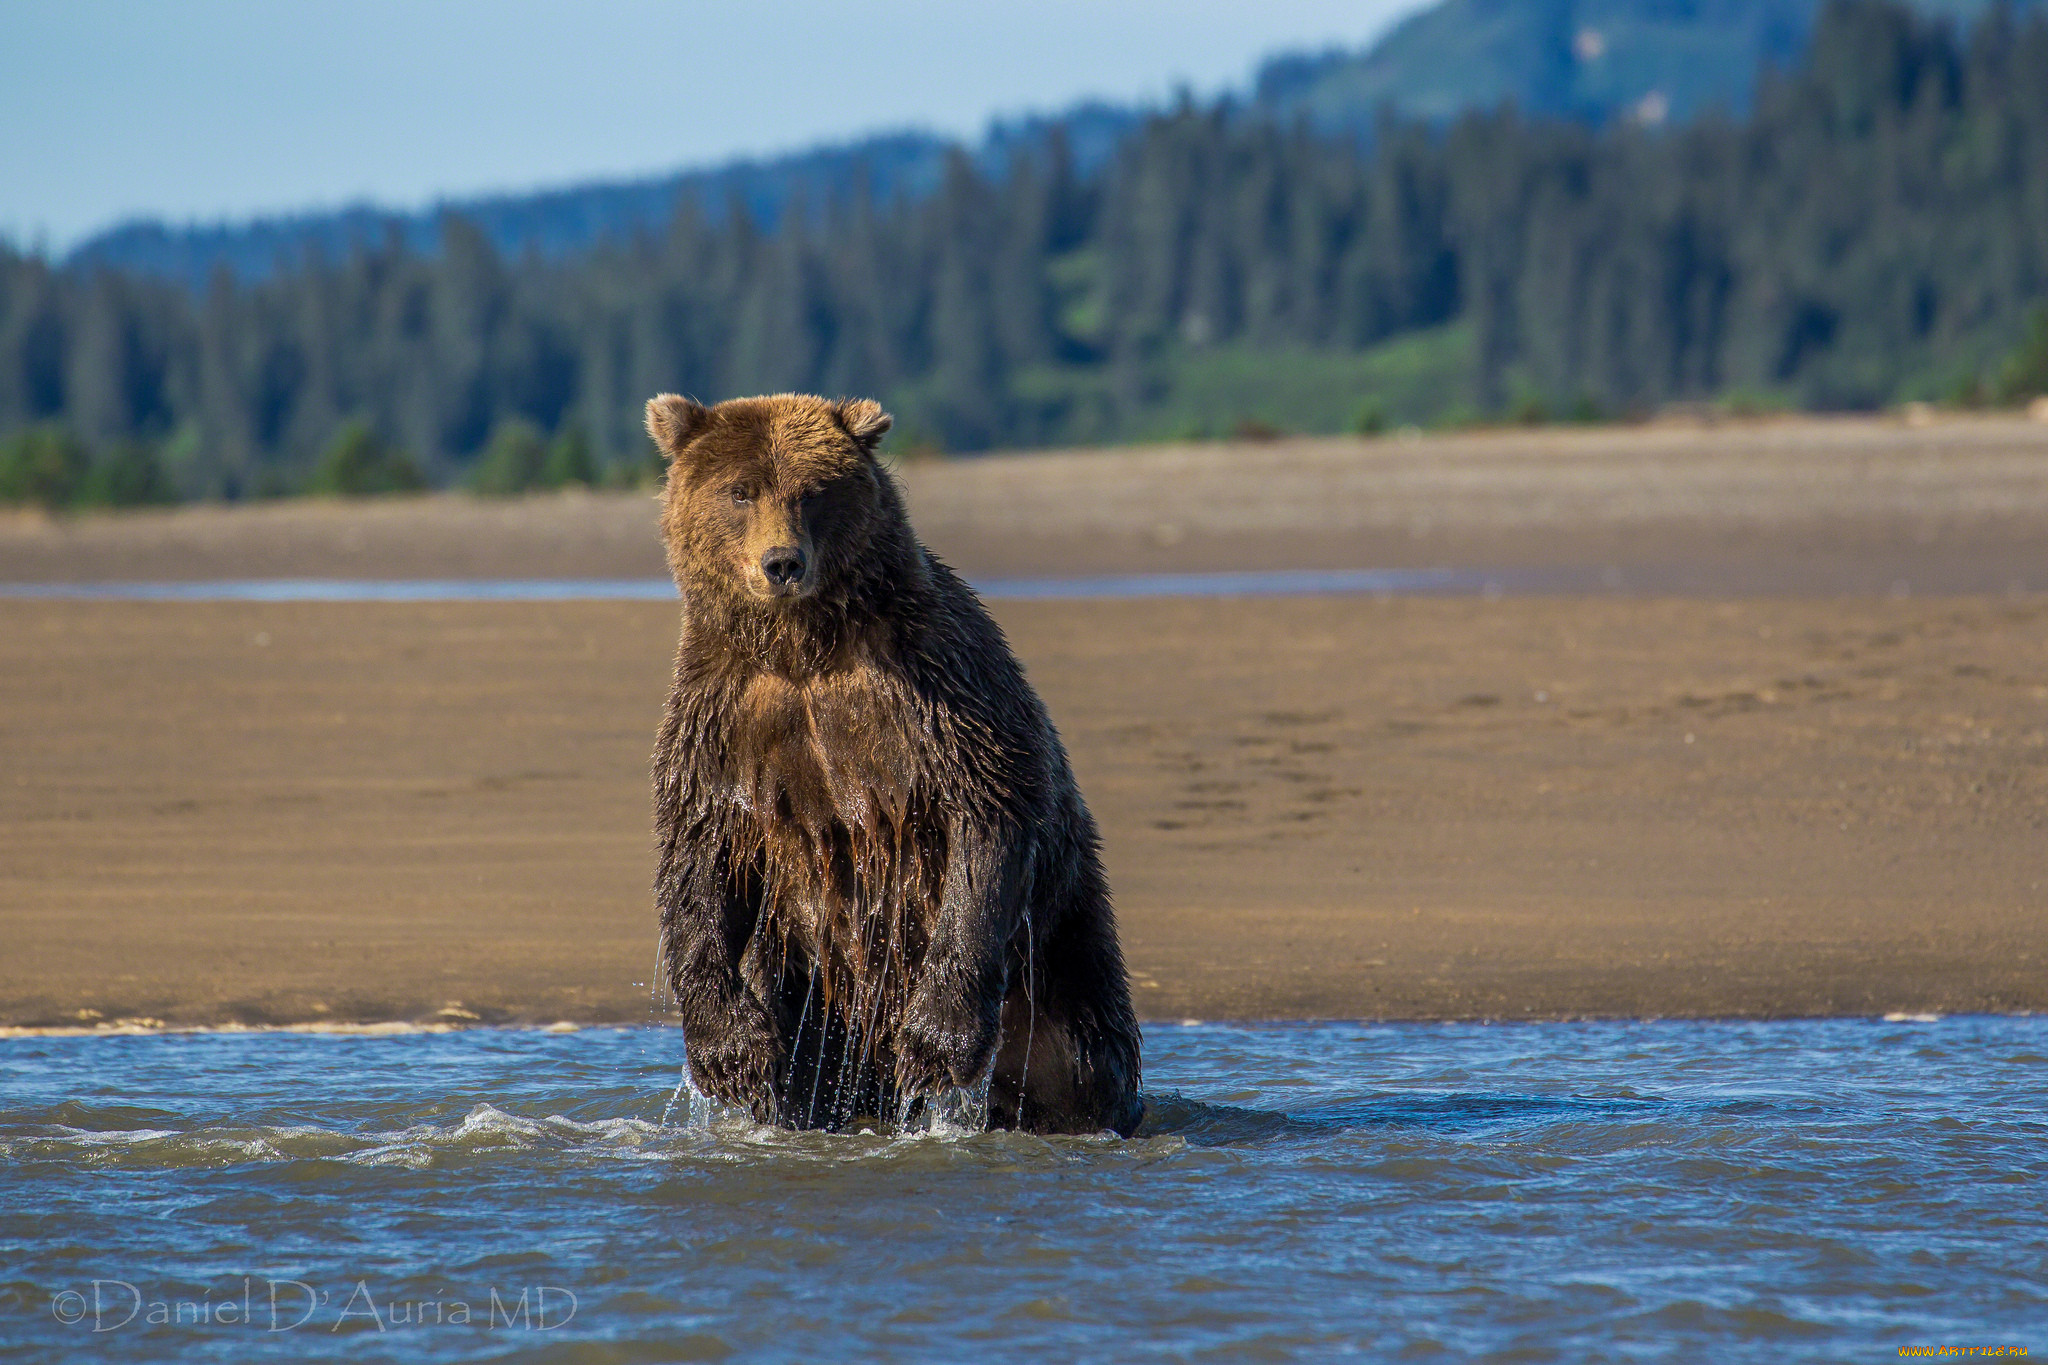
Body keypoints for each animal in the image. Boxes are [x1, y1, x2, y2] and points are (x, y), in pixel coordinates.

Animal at [647, 392, 1146, 1129]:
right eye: (740, 491)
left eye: (813, 491)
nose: (782, 562)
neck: (805, 650)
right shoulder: (721, 719)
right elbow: (700, 858)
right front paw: (730, 1054)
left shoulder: (938, 688)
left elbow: (987, 811)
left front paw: (936, 1044)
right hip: (812, 993)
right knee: (806, 1072)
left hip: (1057, 954)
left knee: (1077, 1058)